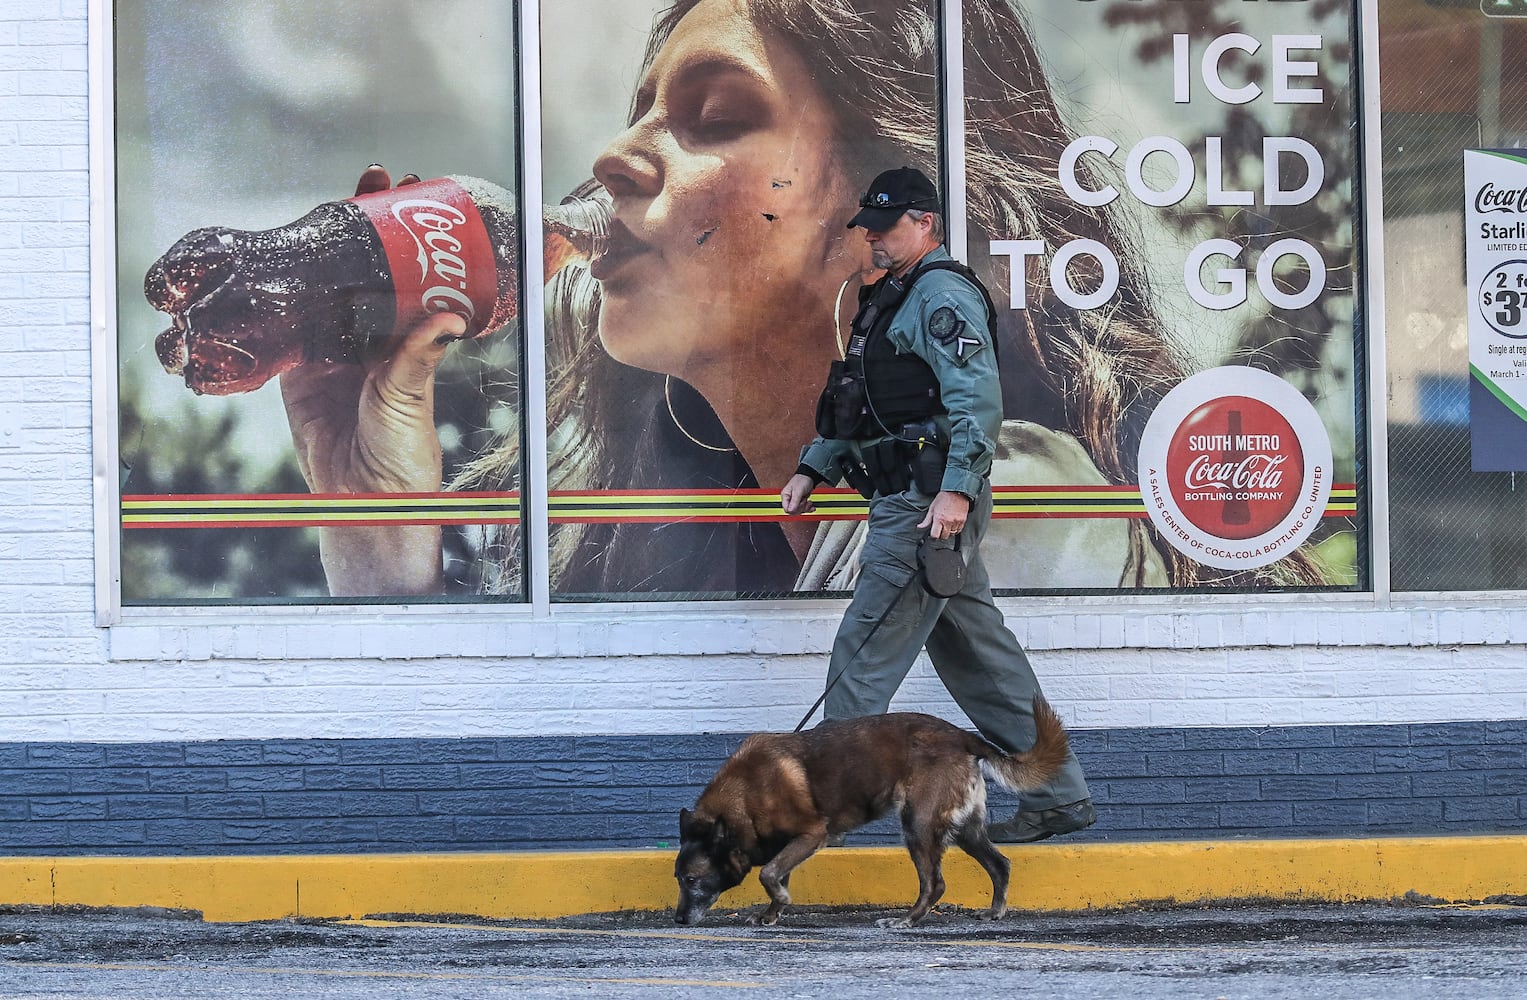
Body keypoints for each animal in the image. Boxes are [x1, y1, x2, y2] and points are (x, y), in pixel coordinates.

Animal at [674, 699, 1068, 928]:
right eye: (677, 879)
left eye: (691, 880)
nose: (677, 919)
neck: (744, 796)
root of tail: (962, 736)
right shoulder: (787, 844)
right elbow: (777, 874)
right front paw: (772, 913)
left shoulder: (812, 834)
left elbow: (768, 873)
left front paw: (780, 902)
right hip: (965, 829)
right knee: (1000, 864)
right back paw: (994, 911)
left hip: (918, 824)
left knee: (935, 882)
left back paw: (907, 920)